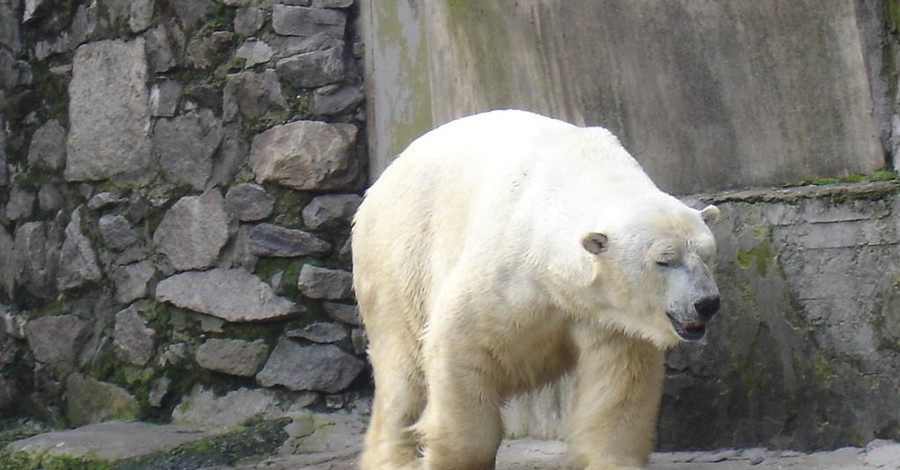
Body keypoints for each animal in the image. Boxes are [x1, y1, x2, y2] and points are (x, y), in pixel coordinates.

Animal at [350, 110, 716, 470]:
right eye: (665, 260)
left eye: (708, 253)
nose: (707, 303)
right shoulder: (505, 268)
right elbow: (459, 345)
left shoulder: (610, 314)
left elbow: (618, 380)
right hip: (400, 255)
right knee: (403, 369)